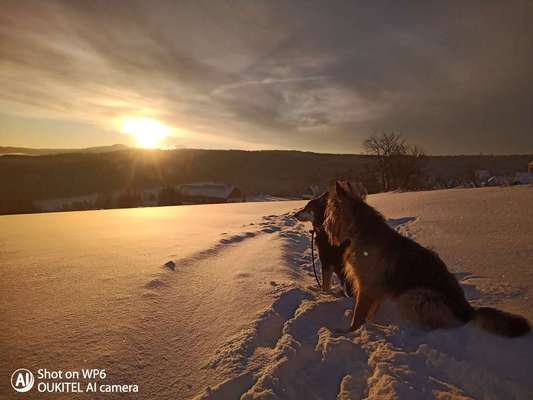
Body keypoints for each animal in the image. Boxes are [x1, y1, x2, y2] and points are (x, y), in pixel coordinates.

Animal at [322, 181, 528, 338]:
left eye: (330, 215)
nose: (323, 226)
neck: (362, 230)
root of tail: (468, 310)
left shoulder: (367, 286)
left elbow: (359, 314)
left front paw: (350, 331)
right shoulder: (375, 289)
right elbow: (369, 312)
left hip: (415, 296)